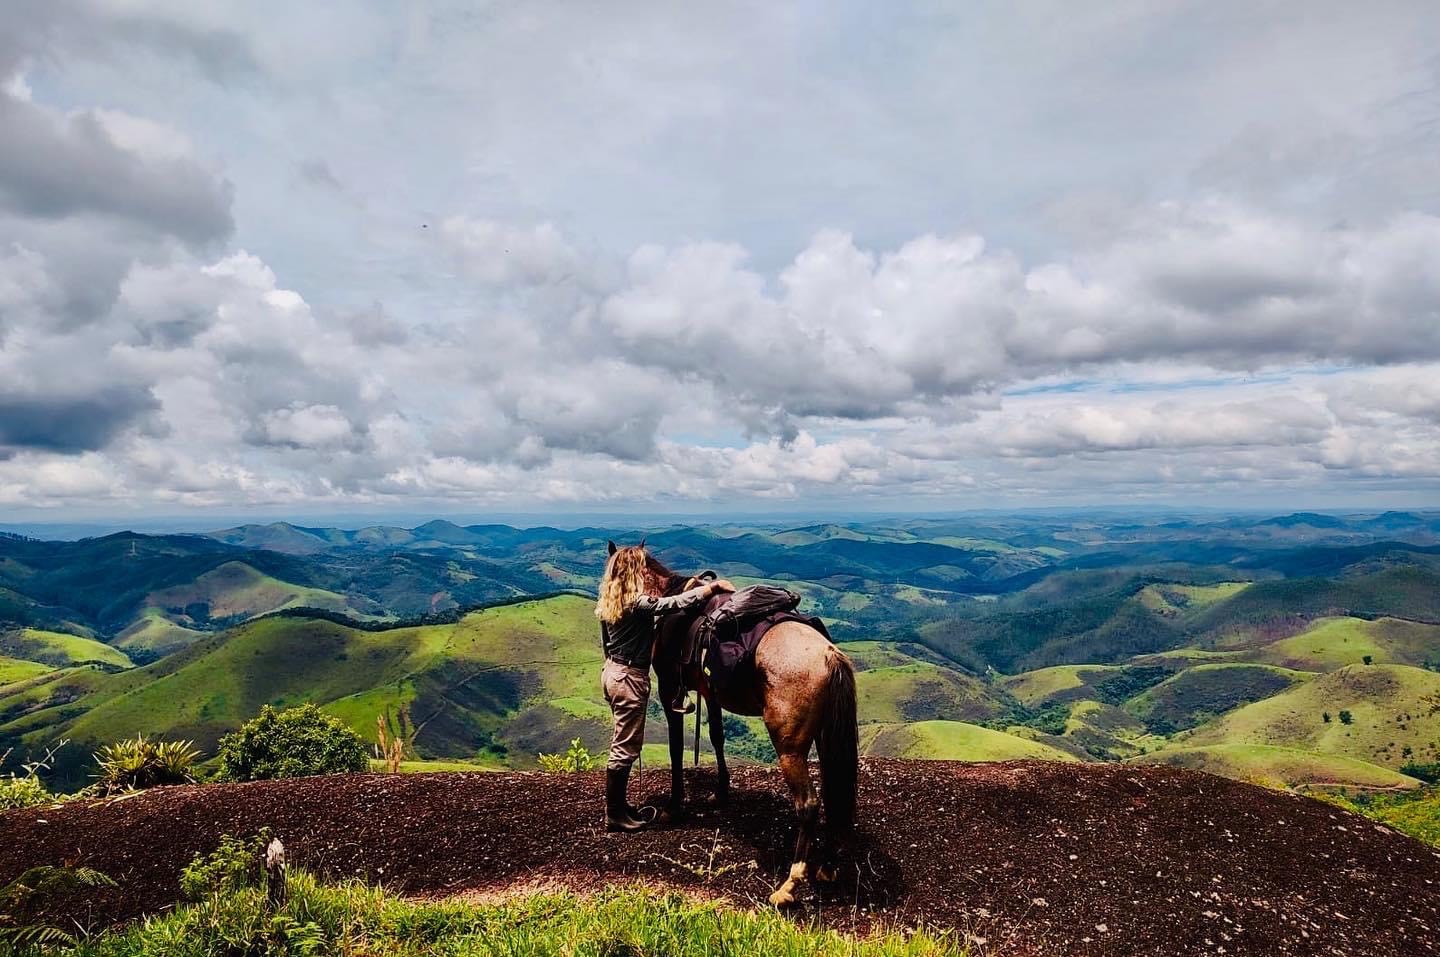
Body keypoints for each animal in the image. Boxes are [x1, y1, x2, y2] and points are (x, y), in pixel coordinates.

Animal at [619, 541, 852, 909]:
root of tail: (828, 654)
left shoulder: (670, 690)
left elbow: (675, 748)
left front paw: (674, 805)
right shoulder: (710, 691)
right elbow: (716, 735)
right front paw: (722, 791)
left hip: (790, 747)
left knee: (809, 804)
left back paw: (790, 884)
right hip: (826, 738)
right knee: (832, 789)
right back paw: (827, 866)